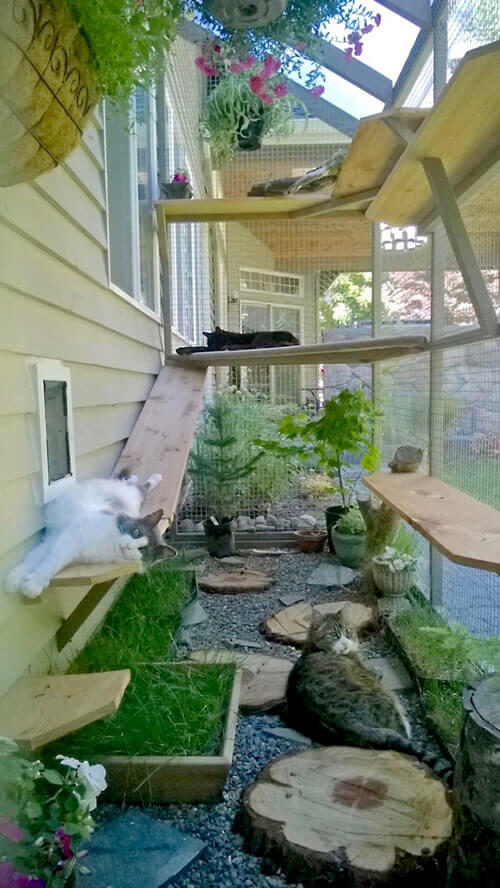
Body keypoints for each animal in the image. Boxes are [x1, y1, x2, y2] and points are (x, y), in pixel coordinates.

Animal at [5, 468, 162, 600]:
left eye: (142, 550)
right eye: (136, 532)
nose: (129, 545)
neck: (111, 543)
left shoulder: (62, 543)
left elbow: (44, 562)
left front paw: (27, 583)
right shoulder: (67, 539)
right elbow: (43, 562)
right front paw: (17, 580)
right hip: (129, 490)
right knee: (139, 485)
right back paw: (152, 477)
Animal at [286, 612, 454, 780]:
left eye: (348, 631)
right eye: (333, 635)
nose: (346, 644)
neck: (313, 648)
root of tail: (348, 723)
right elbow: (373, 670)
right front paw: (376, 669)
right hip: (386, 698)